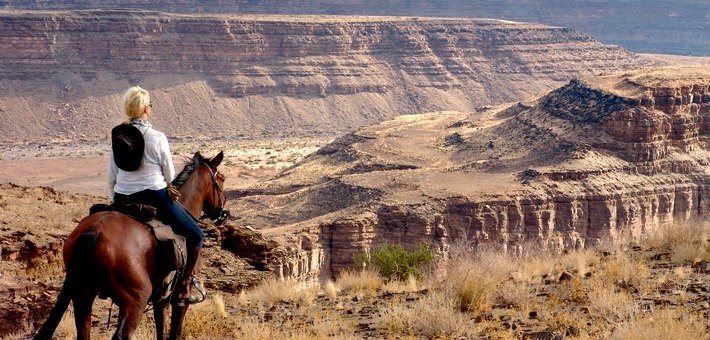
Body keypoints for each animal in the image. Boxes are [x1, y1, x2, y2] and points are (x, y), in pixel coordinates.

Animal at [32, 151, 228, 340]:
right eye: (222, 179)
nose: (223, 213)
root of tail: (94, 231)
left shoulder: (160, 299)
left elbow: (161, 331)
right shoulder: (179, 297)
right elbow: (175, 331)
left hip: (83, 293)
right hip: (136, 299)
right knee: (120, 335)